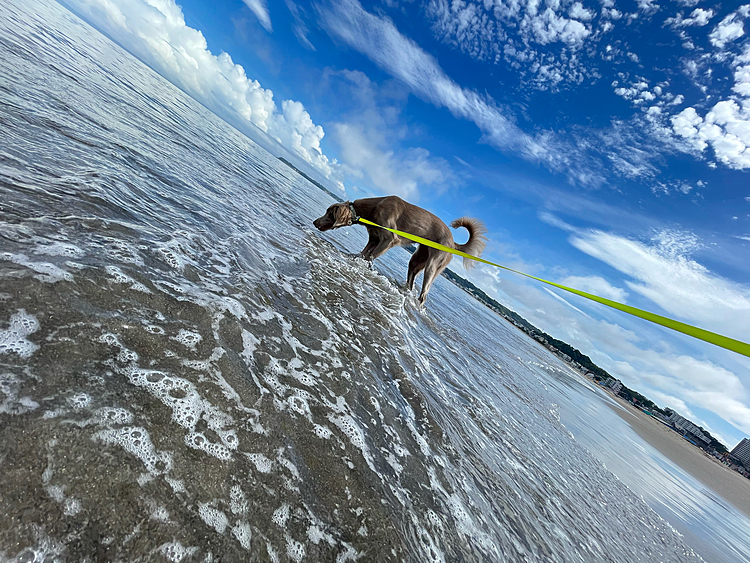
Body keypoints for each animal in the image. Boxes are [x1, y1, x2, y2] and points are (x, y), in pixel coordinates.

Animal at [312, 197, 484, 304]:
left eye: (329, 212)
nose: (314, 222)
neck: (374, 207)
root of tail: (453, 243)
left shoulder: (389, 239)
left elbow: (369, 257)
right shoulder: (374, 238)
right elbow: (363, 254)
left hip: (434, 264)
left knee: (424, 294)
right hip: (417, 259)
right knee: (412, 280)